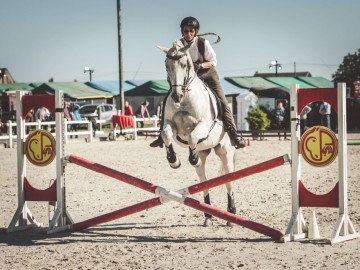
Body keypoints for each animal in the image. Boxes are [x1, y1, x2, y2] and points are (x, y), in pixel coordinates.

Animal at [159, 40, 238, 226]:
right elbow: (166, 135)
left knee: (229, 181)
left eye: (184, 64)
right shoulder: (170, 124)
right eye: (166, 65)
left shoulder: (203, 124)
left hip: (226, 153)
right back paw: (208, 215)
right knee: (204, 180)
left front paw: (191, 157)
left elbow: (193, 136)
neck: (185, 98)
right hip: (205, 154)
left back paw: (231, 213)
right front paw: (174, 160)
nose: (176, 96)